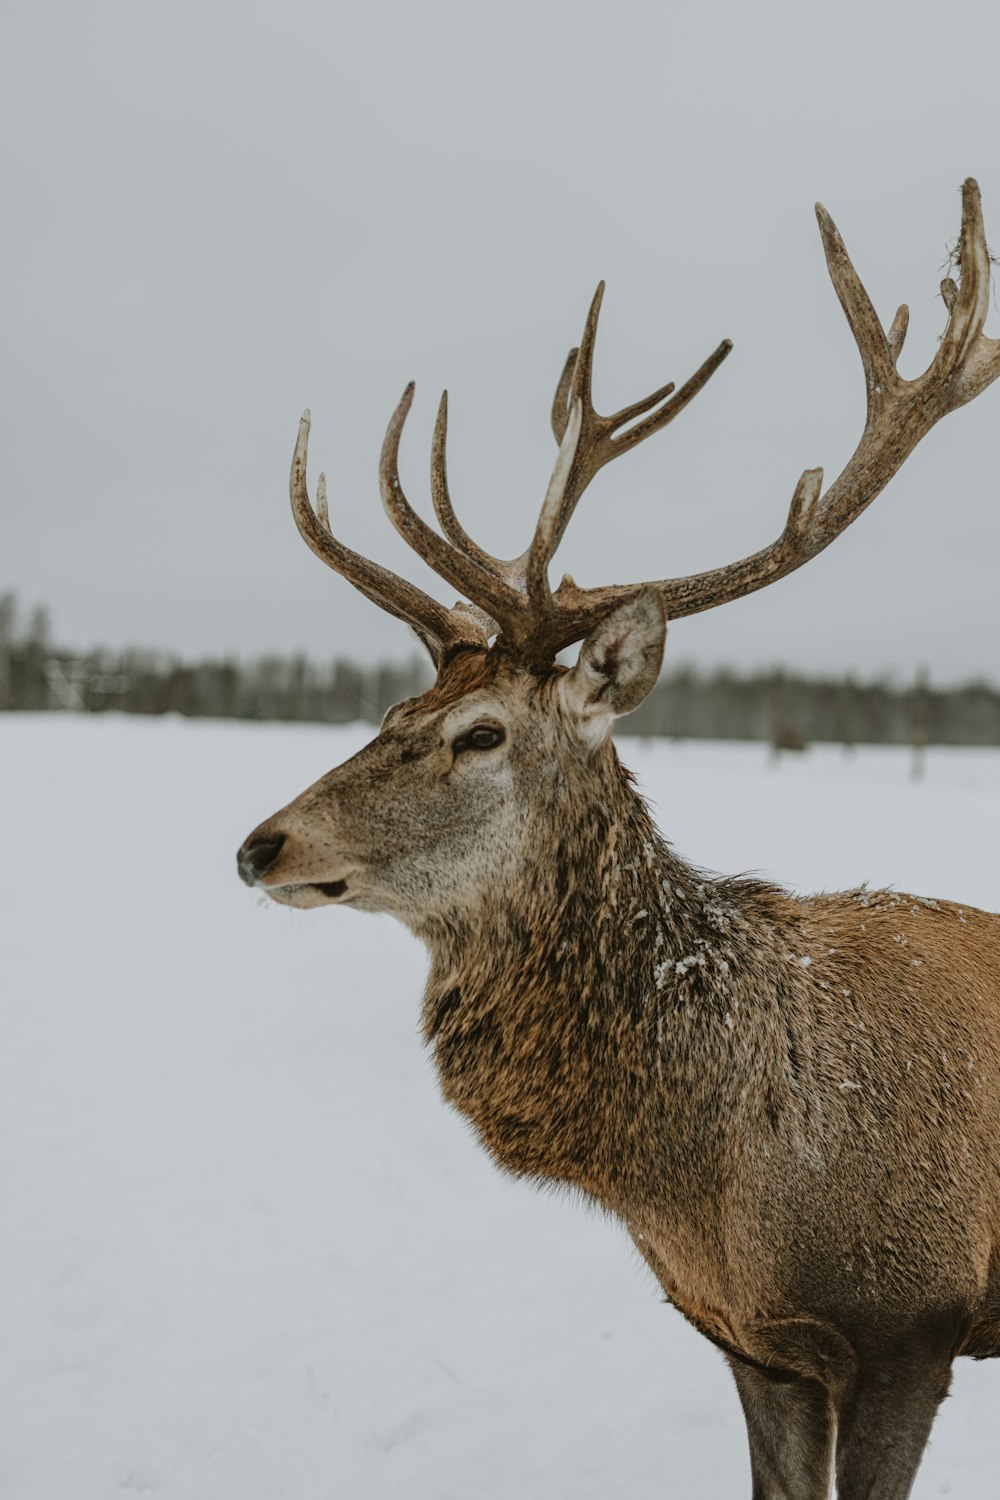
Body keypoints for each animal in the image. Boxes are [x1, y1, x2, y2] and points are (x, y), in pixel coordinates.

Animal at [238, 181, 1000, 1494]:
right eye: (390, 713)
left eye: (480, 734)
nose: (261, 846)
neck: (718, 1180)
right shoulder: (751, 1341)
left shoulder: (916, 1321)